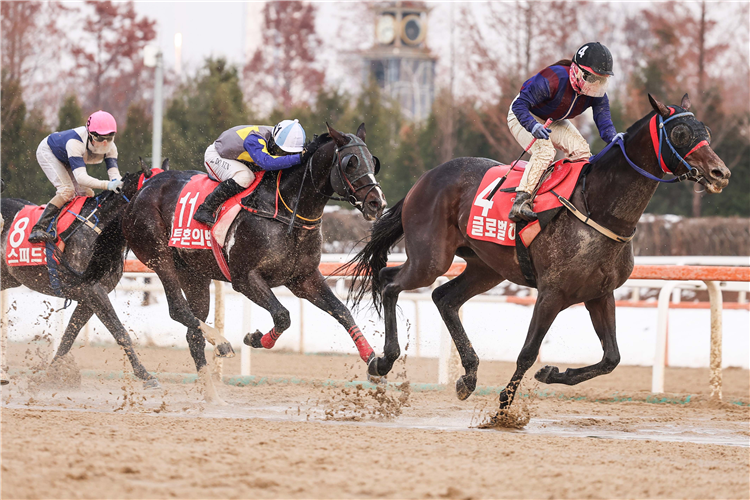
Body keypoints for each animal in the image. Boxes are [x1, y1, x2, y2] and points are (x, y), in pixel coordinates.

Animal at [0, 168, 163, 386]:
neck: (98, 230)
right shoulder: (92, 290)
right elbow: (120, 332)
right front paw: (146, 375)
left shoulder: (88, 298)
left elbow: (69, 336)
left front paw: (51, 375)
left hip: (8, 278)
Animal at [122, 123, 388, 404]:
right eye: (351, 162)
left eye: (373, 161)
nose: (377, 203)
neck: (283, 209)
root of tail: (143, 189)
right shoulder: (245, 278)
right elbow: (283, 316)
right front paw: (256, 338)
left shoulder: (304, 279)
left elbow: (342, 312)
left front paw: (374, 363)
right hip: (159, 256)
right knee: (177, 309)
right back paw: (222, 344)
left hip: (194, 273)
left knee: (192, 331)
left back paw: (213, 396)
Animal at [350, 94, 732, 414]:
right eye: (680, 132)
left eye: (707, 130)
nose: (720, 172)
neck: (600, 208)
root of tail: (426, 177)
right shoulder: (552, 293)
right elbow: (527, 352)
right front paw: (504, 407)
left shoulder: (600, 294)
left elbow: (611, 358)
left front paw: (551, 373)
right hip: (431, 259)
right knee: (389, 281)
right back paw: (383, 360)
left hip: (487, 267)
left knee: (443, 297)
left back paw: (468, 376)